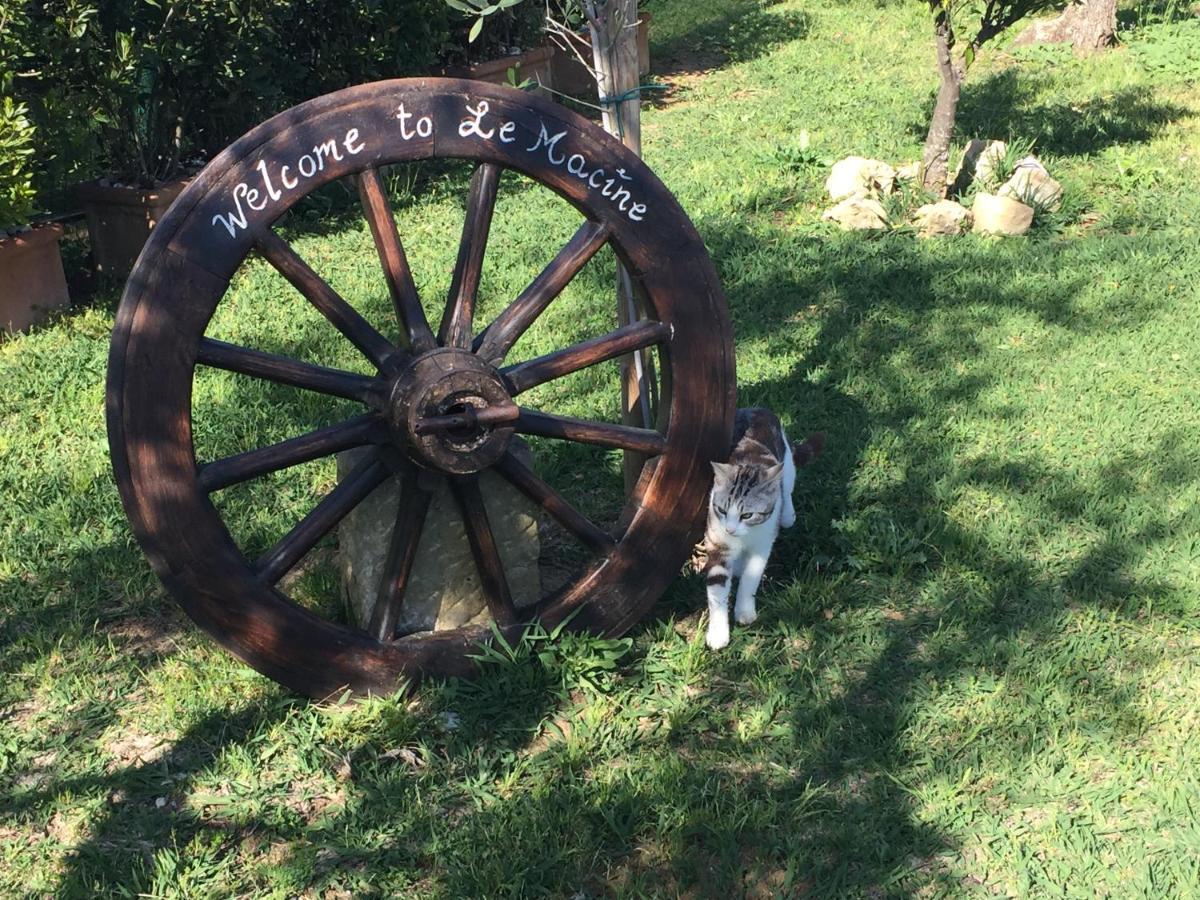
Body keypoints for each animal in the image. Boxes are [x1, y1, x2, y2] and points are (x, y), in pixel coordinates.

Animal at [700, 412, 825, 652]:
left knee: (787, 487)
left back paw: (787, 514)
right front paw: (719, 632)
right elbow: (717, 590)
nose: (730, 529)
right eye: (722, 510)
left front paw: (744, 610)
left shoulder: (763, 543)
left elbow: (751, 578)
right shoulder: (718, 542)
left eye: (747, 515)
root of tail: (756, 408)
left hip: (786, 464)